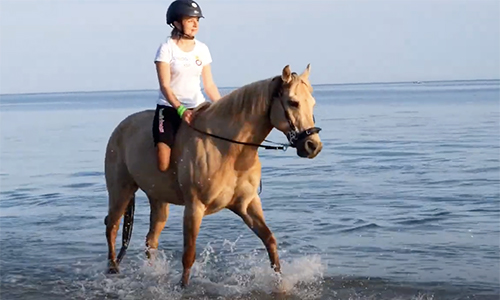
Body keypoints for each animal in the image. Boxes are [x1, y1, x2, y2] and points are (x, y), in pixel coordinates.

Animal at [106, 63, 324, 286]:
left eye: (313, 103)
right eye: (293, 102)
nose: (313, 146)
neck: (231, 150)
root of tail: (120, 128)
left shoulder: (247, 204)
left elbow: (270, 241)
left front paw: (281, 282)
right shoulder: (194, 207)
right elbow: (189, 256)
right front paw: (183, 287)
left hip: (158, 200)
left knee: (151, 240)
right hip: (121, 191)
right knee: (112, 226)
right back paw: (113, 268)